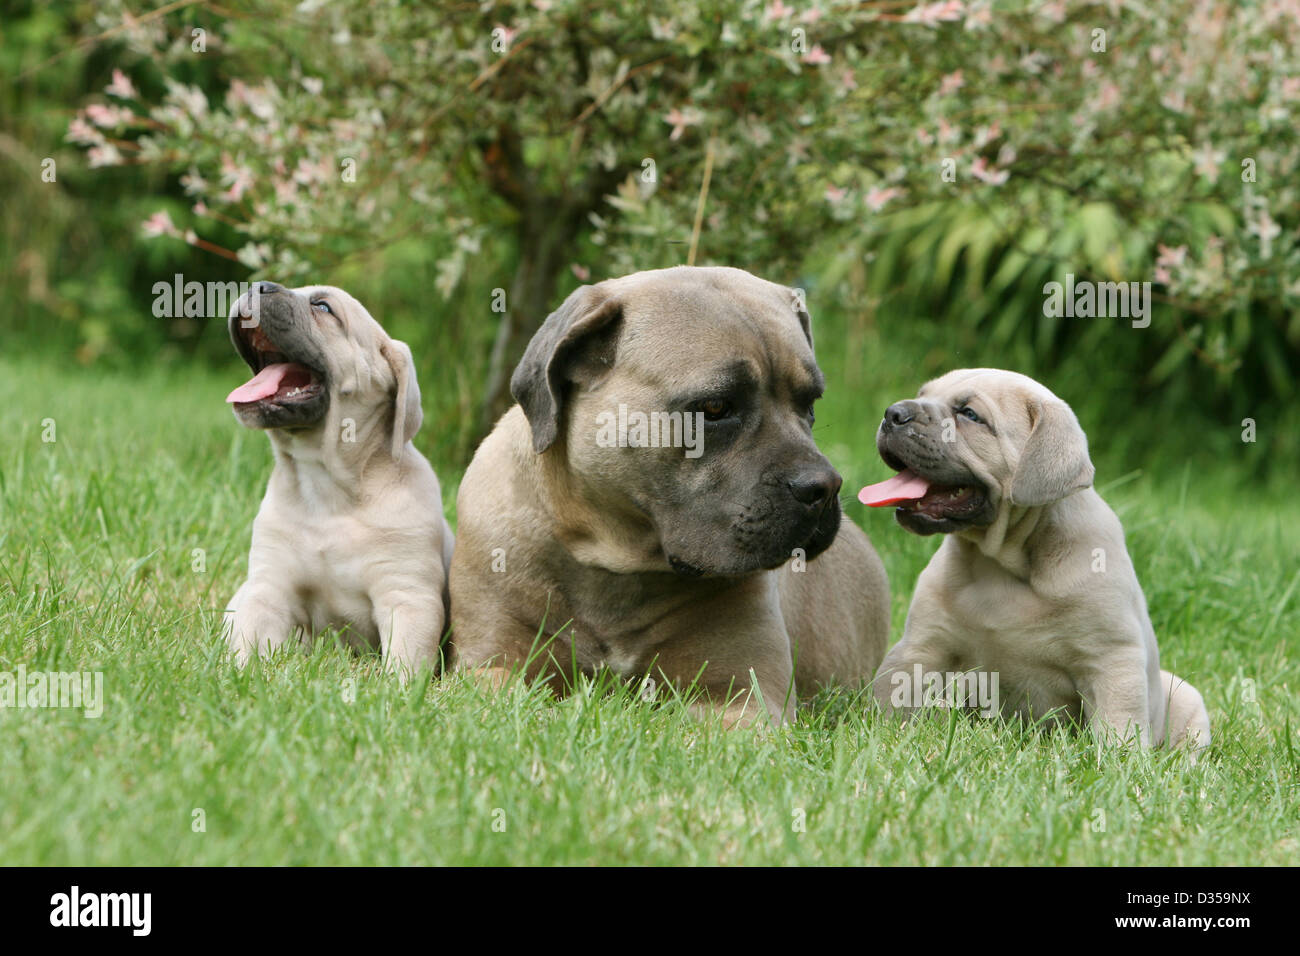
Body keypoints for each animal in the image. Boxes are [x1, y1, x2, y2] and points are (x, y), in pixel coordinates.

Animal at [218, 280, 452, 676]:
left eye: (323, 307)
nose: (258, 285)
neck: (326, 487)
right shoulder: (268, 588)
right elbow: (248, 648)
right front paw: (236, 677)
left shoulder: (408, 598)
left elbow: (403, 665)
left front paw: (396, 690)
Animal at [863, 369, 1206, 759]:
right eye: (922, 394)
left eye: (969, 414)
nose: (892, 413)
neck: (1001, 564)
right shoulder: (922, 645)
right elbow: (893, 697)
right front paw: (881, 737)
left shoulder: (1112, 658)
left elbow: (1120, 724)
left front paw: (1121, 765)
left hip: (1187, 699)